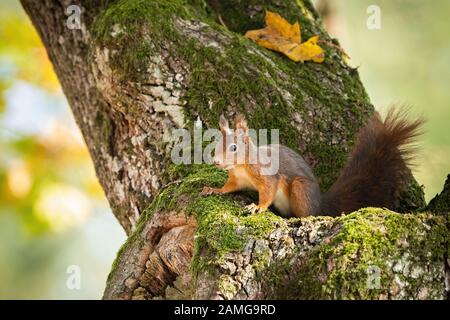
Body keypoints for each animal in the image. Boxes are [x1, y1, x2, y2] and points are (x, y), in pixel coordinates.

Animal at [202, 109, 424, 218]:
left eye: (234, 148)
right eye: (216, 144)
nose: (215, 162)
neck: (241, 167)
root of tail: (320, 204)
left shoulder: (268, 176)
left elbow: (267, 192)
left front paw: (258, 207)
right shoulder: (237, 179)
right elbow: (229, 187)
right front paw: (213, 189)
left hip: (300, 189)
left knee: (308, 214)